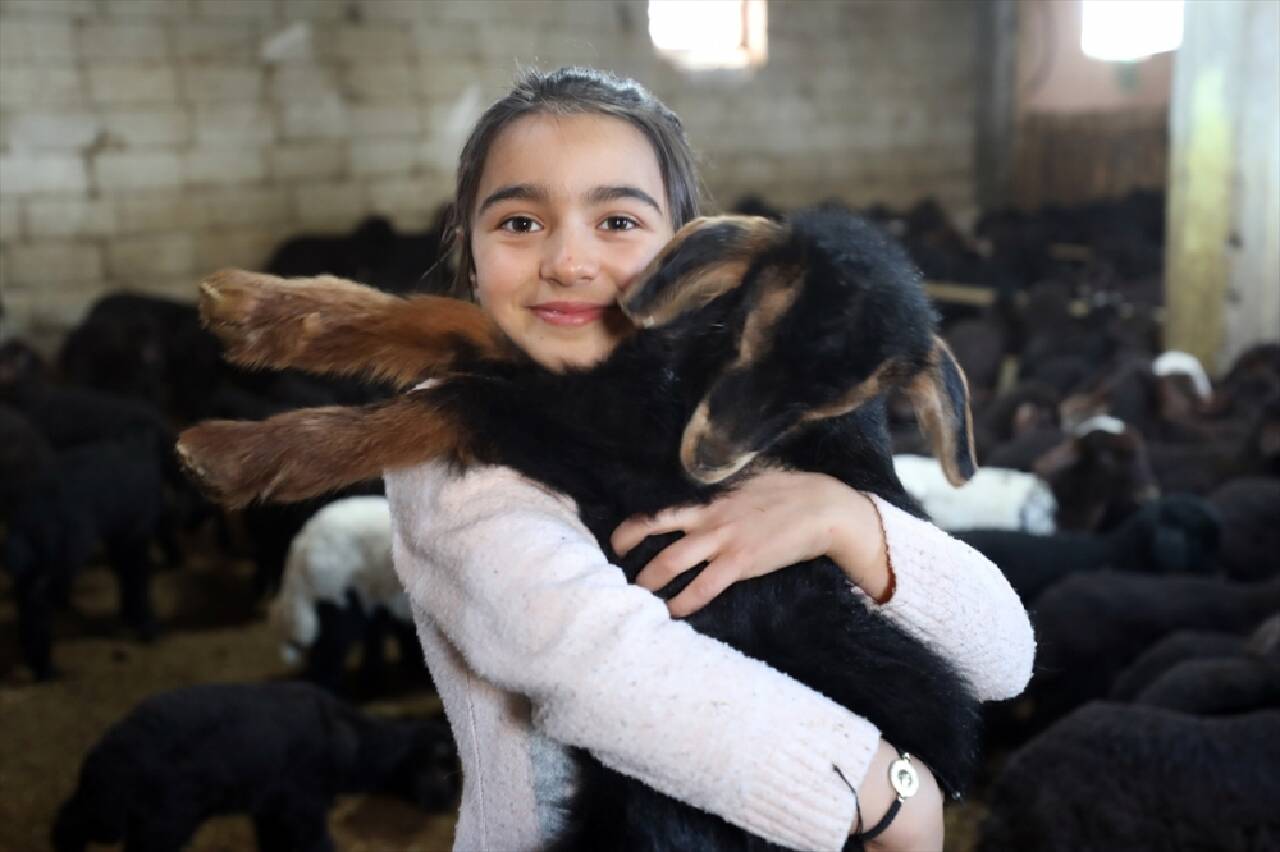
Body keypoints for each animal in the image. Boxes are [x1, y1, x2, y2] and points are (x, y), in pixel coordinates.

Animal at [51, 675, 460, 849]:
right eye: (444, 772)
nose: (450, 807)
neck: (353, 745)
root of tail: (107, 763)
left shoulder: (270, 810)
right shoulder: (302, 806)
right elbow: (317, 846)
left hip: (104, 810)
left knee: (67, 823)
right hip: (164, 819)